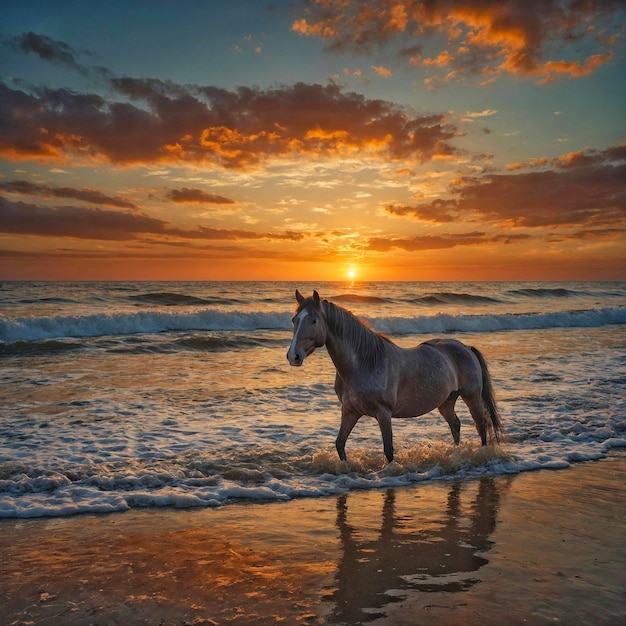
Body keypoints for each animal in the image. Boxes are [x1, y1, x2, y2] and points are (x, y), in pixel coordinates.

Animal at [286, 290, 500, 460]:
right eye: (294, 320)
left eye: (314, 320)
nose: (293, 356)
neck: (364, 364)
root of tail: (466, 348)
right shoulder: (349, 411)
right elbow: (340, 444)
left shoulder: (384, 413)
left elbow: (388, 450)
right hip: (446, 402)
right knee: (455, 425)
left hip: (471, 397)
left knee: (481, 425)